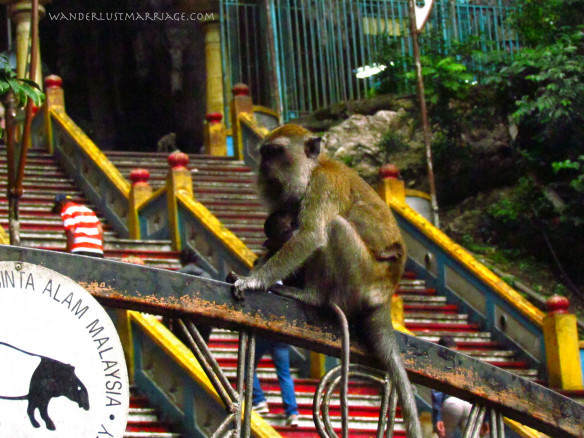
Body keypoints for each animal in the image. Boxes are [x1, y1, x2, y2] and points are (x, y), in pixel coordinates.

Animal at [233, 123, 420, 438]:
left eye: (276, 152)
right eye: (265, 153)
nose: (263, 167)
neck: (314, 168)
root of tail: (384, 295)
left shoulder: (323, 185)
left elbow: (311, 236)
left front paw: (254, 281)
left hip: (362, 279)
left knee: (335, 227)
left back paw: (310, 295)